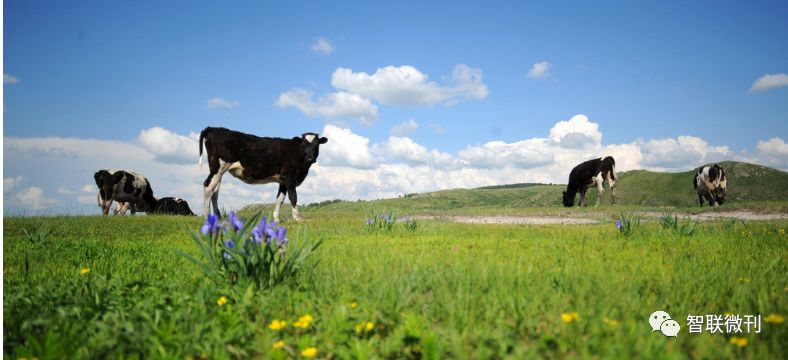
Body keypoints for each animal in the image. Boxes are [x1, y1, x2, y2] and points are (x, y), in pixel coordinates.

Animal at [202, 126, 330, 222]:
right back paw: (207, 216)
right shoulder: (290, 178)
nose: (310, 158)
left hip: (218, 171)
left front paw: (276, 218)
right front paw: (298, 218)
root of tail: (213, 128)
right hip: (218, 167)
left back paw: (217, 217)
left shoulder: (283, 181)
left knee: (215, 190)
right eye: (303, 145)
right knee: (208, 186)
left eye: (316, 145)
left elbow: (280, 199)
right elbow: (293, 197)